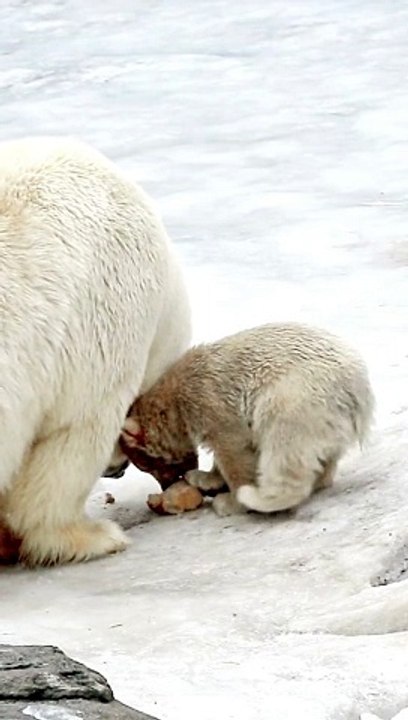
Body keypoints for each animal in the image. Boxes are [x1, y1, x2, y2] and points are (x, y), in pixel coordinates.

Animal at [118, 323, 374, 517]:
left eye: (144, 464)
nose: (167, 485)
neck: (174, 396)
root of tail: (358, 390)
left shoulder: (209, 401)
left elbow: (233, 449)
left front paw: (230, 500)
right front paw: (204, 479)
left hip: (299, 397)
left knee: (284, 444)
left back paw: (261, 497)